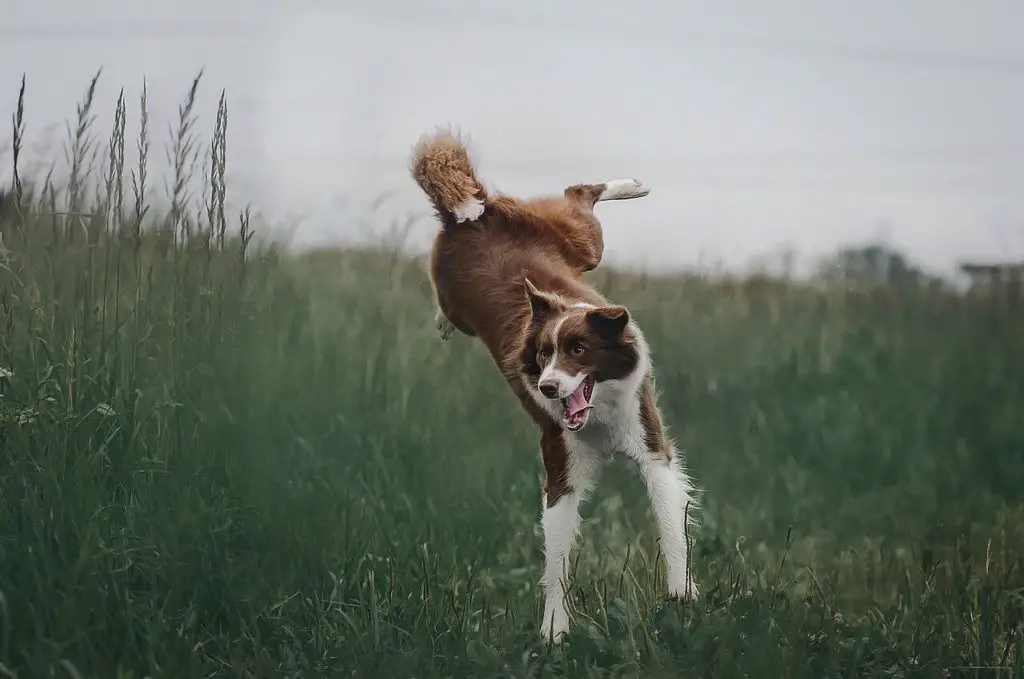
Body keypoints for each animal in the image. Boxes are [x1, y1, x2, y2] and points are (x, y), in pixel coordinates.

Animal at [411, 130, 700, 647]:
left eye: (579, 350)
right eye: (543, 354)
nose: (547, 387)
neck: (600, 416)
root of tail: (473, 214)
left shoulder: (650, 443)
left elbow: (670, 519)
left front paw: (680, 590)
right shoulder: (560, 465)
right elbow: (557, 558)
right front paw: (554, 631)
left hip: (581, 243)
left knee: (579, 196)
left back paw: (632, 184)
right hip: (482, 282)